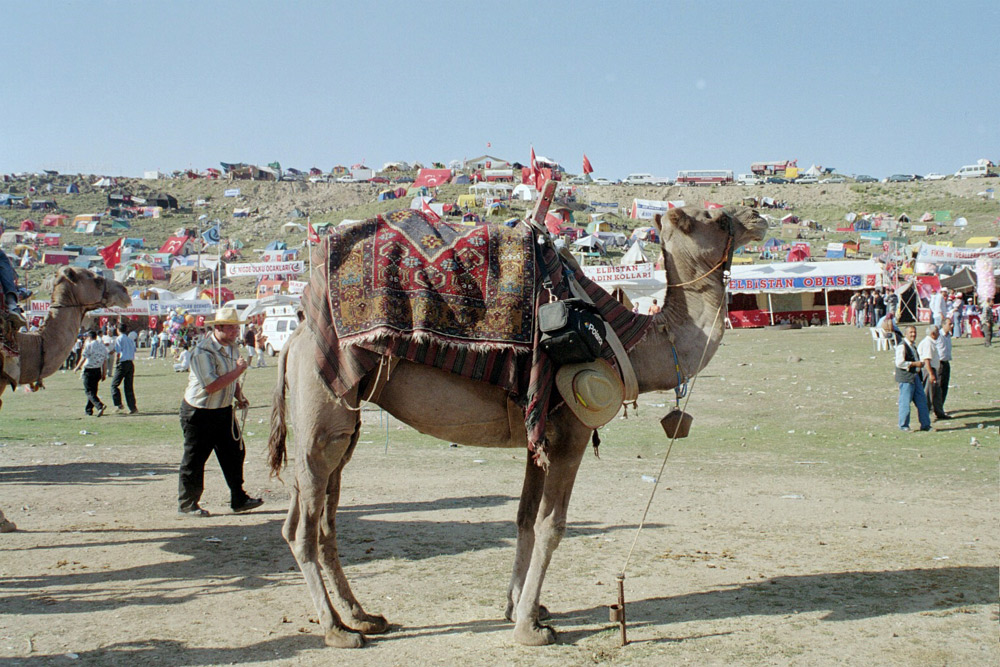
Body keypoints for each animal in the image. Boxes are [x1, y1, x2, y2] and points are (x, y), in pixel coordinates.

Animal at [266, 207, 764, 648]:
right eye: (716, 218)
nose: (756, 216)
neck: (629, 340)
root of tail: (294, 338)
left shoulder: (537, 436)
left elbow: (524, 518)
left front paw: (520, 606)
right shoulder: (571, 434)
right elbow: (551, 526)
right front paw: (530, 628)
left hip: (340, 428)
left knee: (323, 521)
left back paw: (363, 616)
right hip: (320, 416)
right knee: (300, 529)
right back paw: (337, 631)